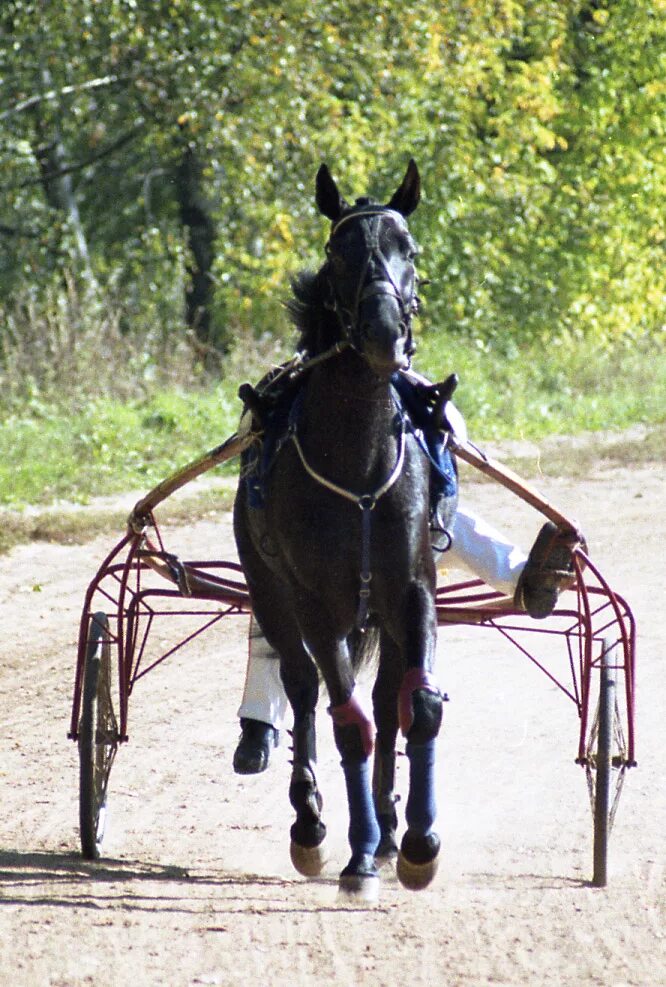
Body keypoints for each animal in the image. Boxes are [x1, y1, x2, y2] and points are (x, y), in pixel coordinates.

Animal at [231, 162, 454, 896]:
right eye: (339, 251)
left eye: (408, 246)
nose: (384, 331)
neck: (356, 461)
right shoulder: (317, 600)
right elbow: (344, 719)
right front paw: (358, 852)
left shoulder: (410, 586)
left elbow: (417, 705)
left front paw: (416, 841)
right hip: (272, 589)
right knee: (304, 687)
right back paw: (313, 823)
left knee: (385, 701)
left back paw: (387, 824)